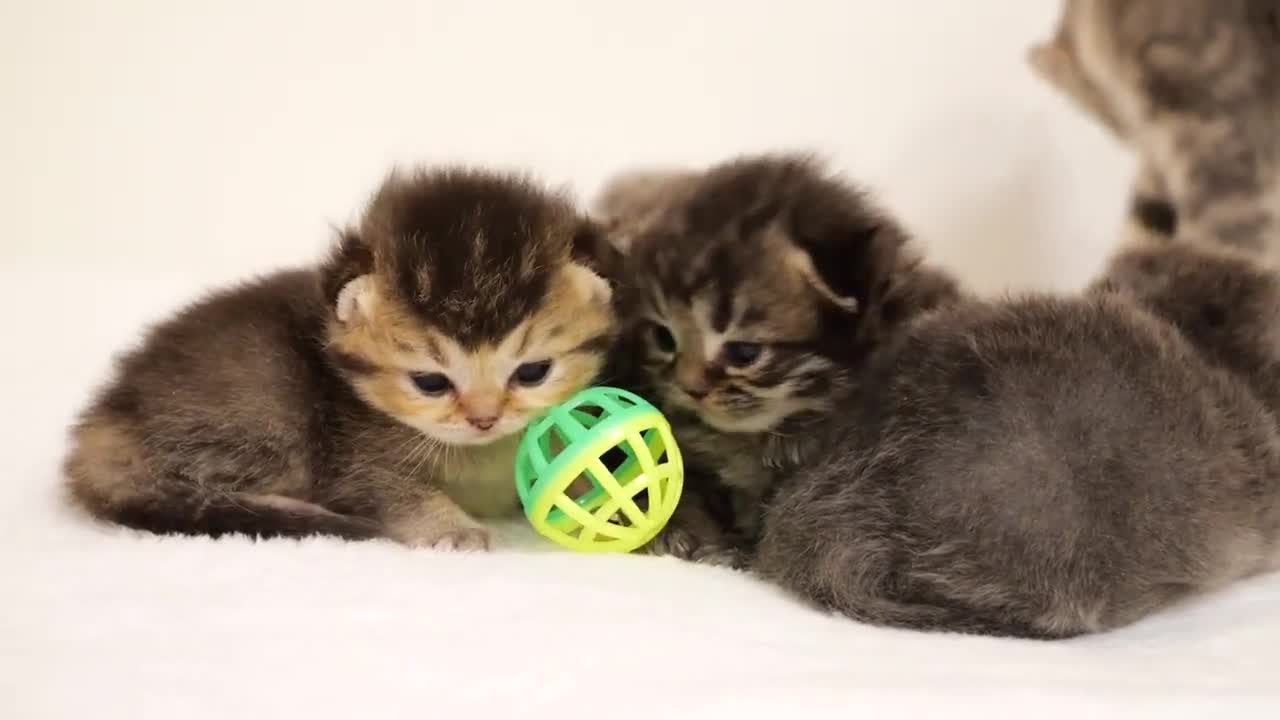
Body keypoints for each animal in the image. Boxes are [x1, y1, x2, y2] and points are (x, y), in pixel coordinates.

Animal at [64, 166, 614, 548]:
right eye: (431, 383)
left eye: (532, 372)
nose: (484, 420)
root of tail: (101, 425)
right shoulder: (352, 458)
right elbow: (388, 491)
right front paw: (451, 527)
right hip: (266, 406)